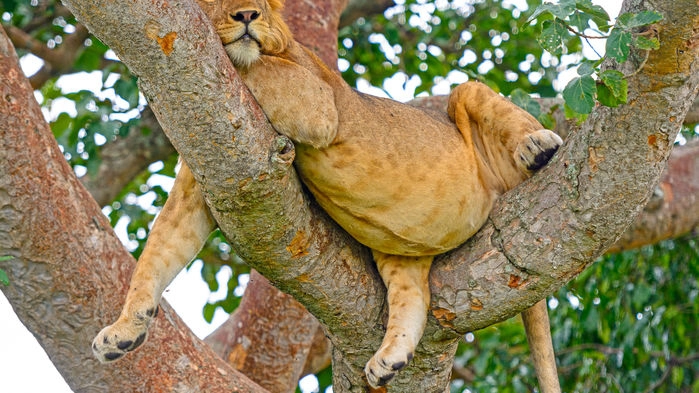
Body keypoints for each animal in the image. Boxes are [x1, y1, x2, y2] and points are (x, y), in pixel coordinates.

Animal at [91, 0, 564, 388]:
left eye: (260, 4)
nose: (246, 16)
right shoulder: (206, 172)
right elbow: (159, 251)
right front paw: (123, 330)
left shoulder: (317, 102)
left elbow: (255, 65)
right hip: (398, 246)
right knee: (413, 296)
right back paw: (390, 359)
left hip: (471, 109)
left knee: (481, 99)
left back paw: (539, 146)